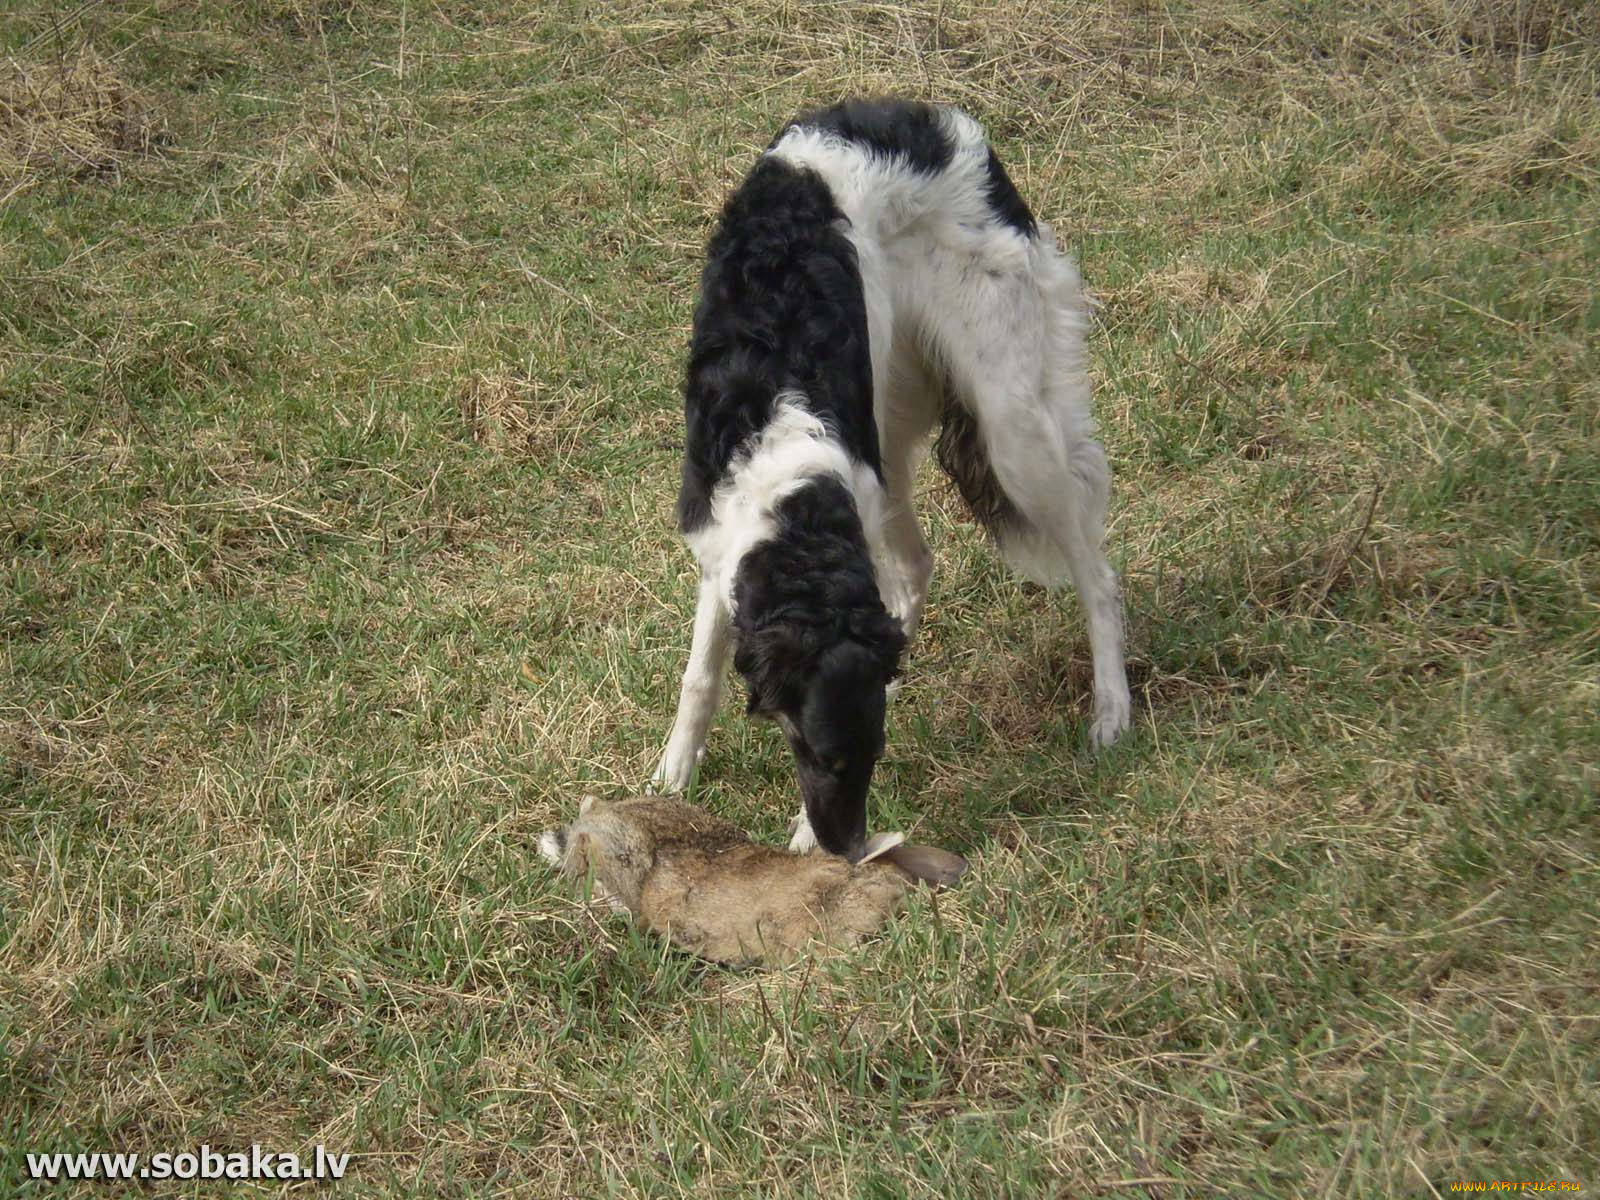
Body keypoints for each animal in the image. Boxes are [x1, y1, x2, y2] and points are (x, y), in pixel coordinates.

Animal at [646, 98, 1126, 857]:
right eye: (820, 755)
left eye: (872, 756)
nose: (849, 852)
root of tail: (941, 119)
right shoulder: (718, 541)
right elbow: (700, 677)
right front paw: (671, 779)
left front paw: (800, 834)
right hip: (895, 425)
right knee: (918, 563)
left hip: (1010, 425)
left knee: (1096, 575)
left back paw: (1112, 712)